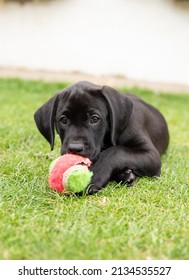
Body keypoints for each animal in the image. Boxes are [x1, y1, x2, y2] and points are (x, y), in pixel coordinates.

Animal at [34, 81, 169, 194]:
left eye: (94, 119)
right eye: (63, 120)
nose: (75, 148)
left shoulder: (151, 155)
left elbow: (116, 151)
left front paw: (95, 175)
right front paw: (124, 174)